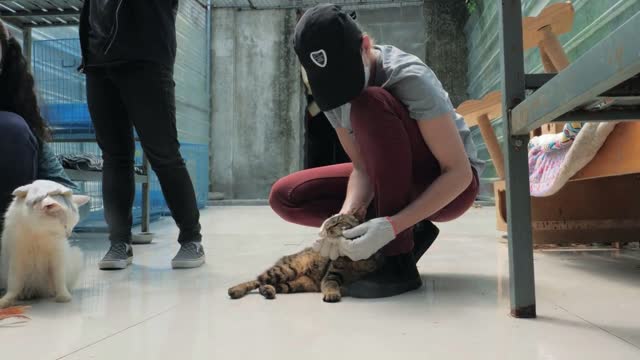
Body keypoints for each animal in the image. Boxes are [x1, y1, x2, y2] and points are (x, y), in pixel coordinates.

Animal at [229, 215, 382, 302]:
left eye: (338, 223)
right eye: (327, 224)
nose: (326, 229)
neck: (352, 259)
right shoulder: (331, 274)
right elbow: (331, 284)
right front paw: (332, 293)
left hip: (296, 284)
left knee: (266, 285)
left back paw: (268, 291)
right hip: (286, 270)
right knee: (257, 280)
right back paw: (236, 290)